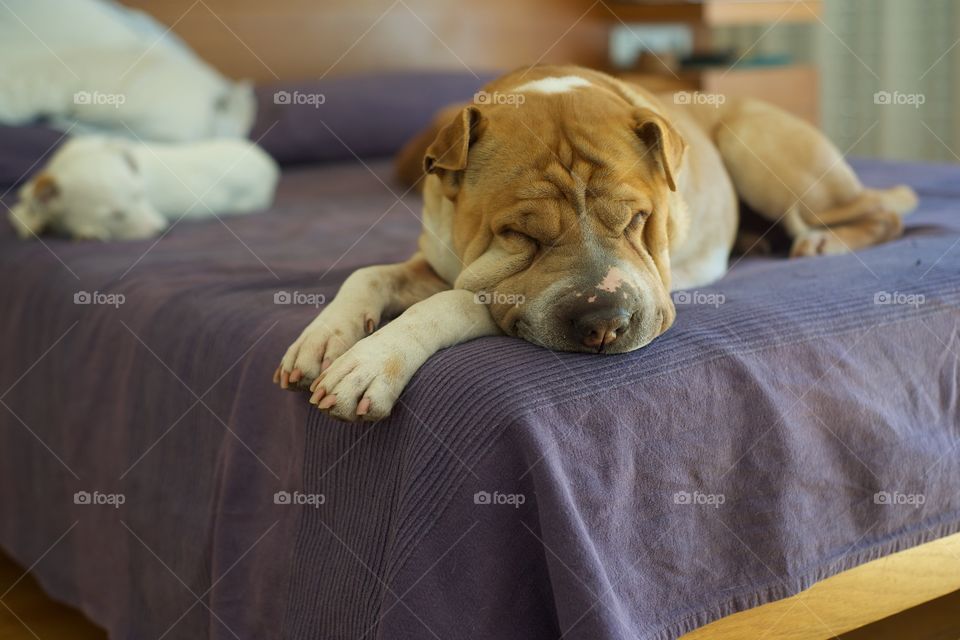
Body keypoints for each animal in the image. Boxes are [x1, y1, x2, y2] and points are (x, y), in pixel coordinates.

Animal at [8, 135, 278, 240]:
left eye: (141, 196)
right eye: (116, 215)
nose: (161, 231)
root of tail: (267, 164)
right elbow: (21, 209)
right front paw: (31, 221)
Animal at [274, 65, 920, 422]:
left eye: (636, 219)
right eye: (520, 234)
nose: (604, 318)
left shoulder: (488, 294)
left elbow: (450, 301)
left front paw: (369, 362)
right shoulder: (436, 260)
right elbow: (369, 274)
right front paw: (324, 338)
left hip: (759, 143)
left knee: (883, 211)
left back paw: (825, 244)